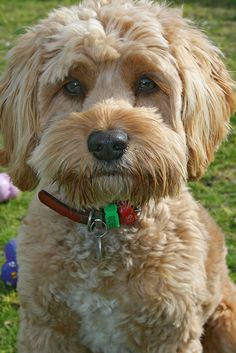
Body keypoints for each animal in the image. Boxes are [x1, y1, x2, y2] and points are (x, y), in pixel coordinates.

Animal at [0, 0, 236, 350]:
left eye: (147, 82)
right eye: (71, 84)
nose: (108, 144)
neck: (104, 223)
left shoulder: (171, 332)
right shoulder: (45, 329)